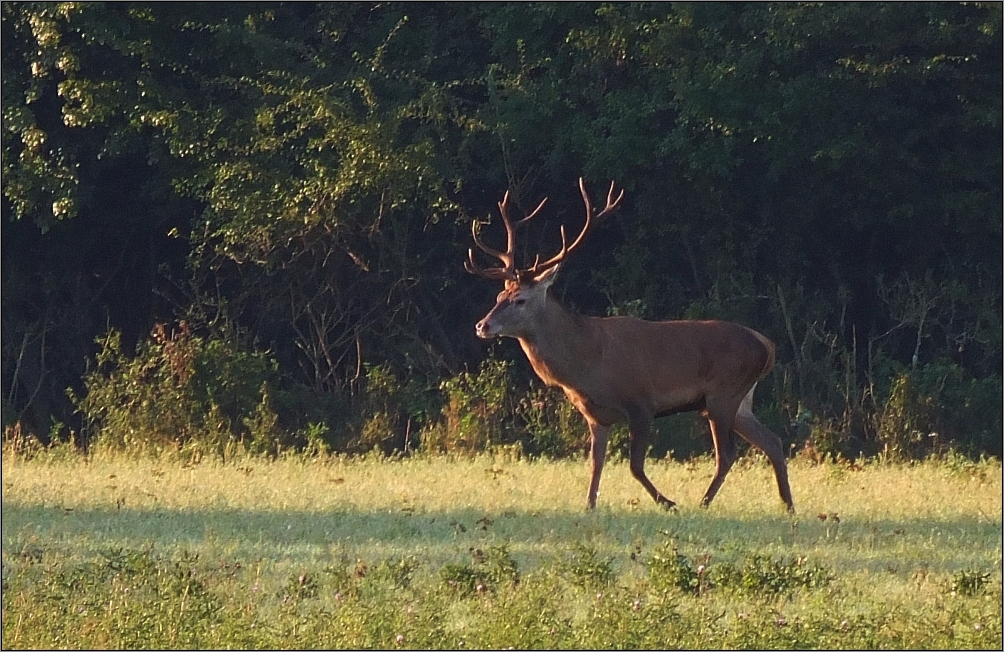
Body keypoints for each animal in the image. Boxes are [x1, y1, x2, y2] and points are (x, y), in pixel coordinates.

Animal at [465, 178, 795, 514]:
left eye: (520, 299)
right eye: (499, 296)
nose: (482, 325)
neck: (585, 364)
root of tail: (767, 345)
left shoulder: (641, 402)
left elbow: (635, 466)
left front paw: (667, 502)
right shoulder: (595, 415)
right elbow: (595, 463)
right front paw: (589, 506)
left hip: (723, 393)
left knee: (727, 454)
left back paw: (703, 503)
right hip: (740, 399)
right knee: (773, 442)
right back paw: (787, 505)